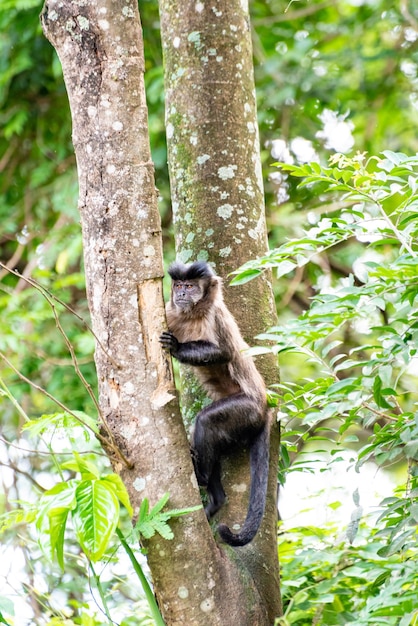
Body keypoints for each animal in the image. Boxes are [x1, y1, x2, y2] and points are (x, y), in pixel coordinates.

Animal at [159, 260, 272, 544]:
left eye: (190, 286)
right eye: (179, 285)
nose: (181, 293)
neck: (192, 315)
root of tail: (265, 408)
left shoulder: (215, 316)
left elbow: (225, 352)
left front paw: (177, 348)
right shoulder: (170, 313)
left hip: (246, 410)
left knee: (206, 422)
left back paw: (201, 476)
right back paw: (216, 499)